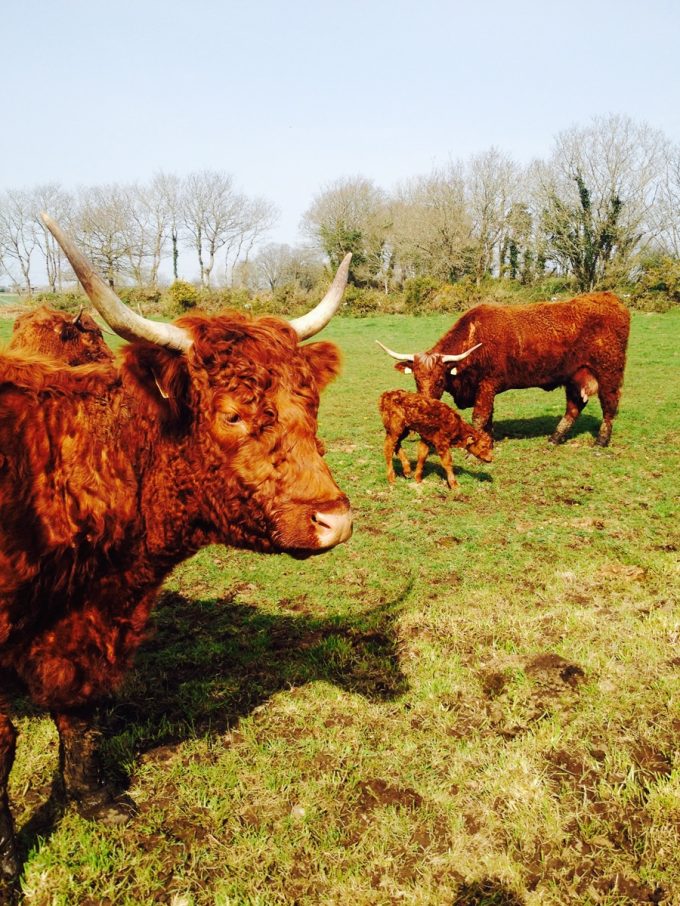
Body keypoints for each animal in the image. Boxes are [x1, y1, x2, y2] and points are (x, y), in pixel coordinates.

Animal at [0, 214, 353, 884]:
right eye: (233, 414)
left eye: (312, 405)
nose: (335, 520)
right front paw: (7, 867)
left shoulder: (90, 623)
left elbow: (83, 708)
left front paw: (96, 802)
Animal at [377, 292, 631, 446]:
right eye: (416, 380)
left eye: (440, 380)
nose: (424, 405)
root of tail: (608, 297)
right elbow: (488, 417)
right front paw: (488, 439)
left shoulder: (488, 384)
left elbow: (480, 416)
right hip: (575, 376)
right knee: (574, 407)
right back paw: (555, 438)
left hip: (609, 372)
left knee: (610, 406)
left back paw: (601, 441)